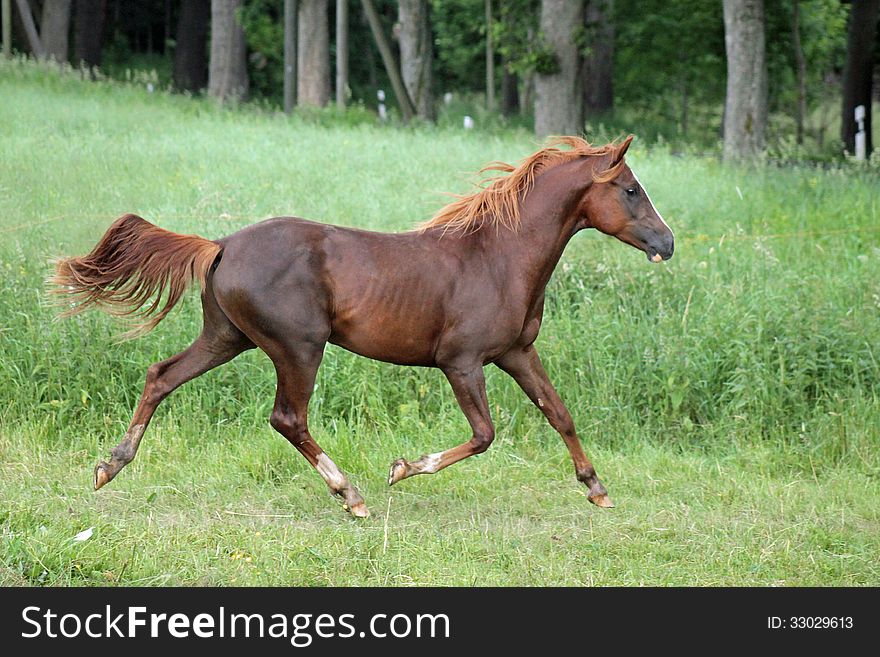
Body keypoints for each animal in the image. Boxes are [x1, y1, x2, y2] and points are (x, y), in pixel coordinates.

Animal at [51, 136, 672, 516]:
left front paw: (597, 489)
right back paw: (351, 495)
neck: (498, 255)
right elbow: (485, 435)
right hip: (298, 347)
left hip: (226, 338)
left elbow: (558, 412)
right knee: (287, 418)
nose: (666, 243)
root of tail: (221, 244)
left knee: (161, 375)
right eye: (630, 189)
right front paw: (401, 469)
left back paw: (109, 467)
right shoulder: (462, 362)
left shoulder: (517, 352)